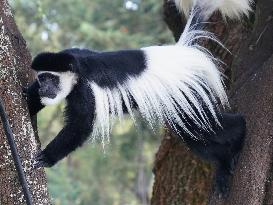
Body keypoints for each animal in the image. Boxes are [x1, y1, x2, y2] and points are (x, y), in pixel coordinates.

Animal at [24, 0, 250, 194]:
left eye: (51, 78)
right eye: (41, 78)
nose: (44, 88)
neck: (77, 70)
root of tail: (182, 52)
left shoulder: (85, 91)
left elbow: (80, 125)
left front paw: (46, 157)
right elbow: (32, 96)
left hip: (188, 93)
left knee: (207, 126)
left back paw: (239, 132)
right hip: (180, 101)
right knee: (194, 134)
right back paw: (223, 165)